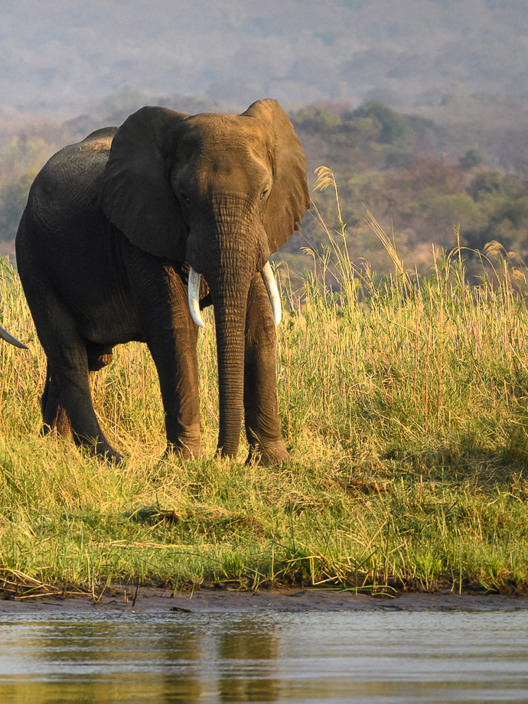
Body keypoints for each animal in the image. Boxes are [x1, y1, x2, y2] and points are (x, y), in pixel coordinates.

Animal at [15, 99, 309, 464]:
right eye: (184, 196)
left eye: (265, 192)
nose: (222, 457)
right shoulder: (137, 230)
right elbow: (175, 327)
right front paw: (185, 462)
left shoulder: (261, 231)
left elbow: (259, 326)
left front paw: (272, 464)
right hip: (33, 257)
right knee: (69, 353)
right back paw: (107, 458)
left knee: (89, 357)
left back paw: (55, 449)